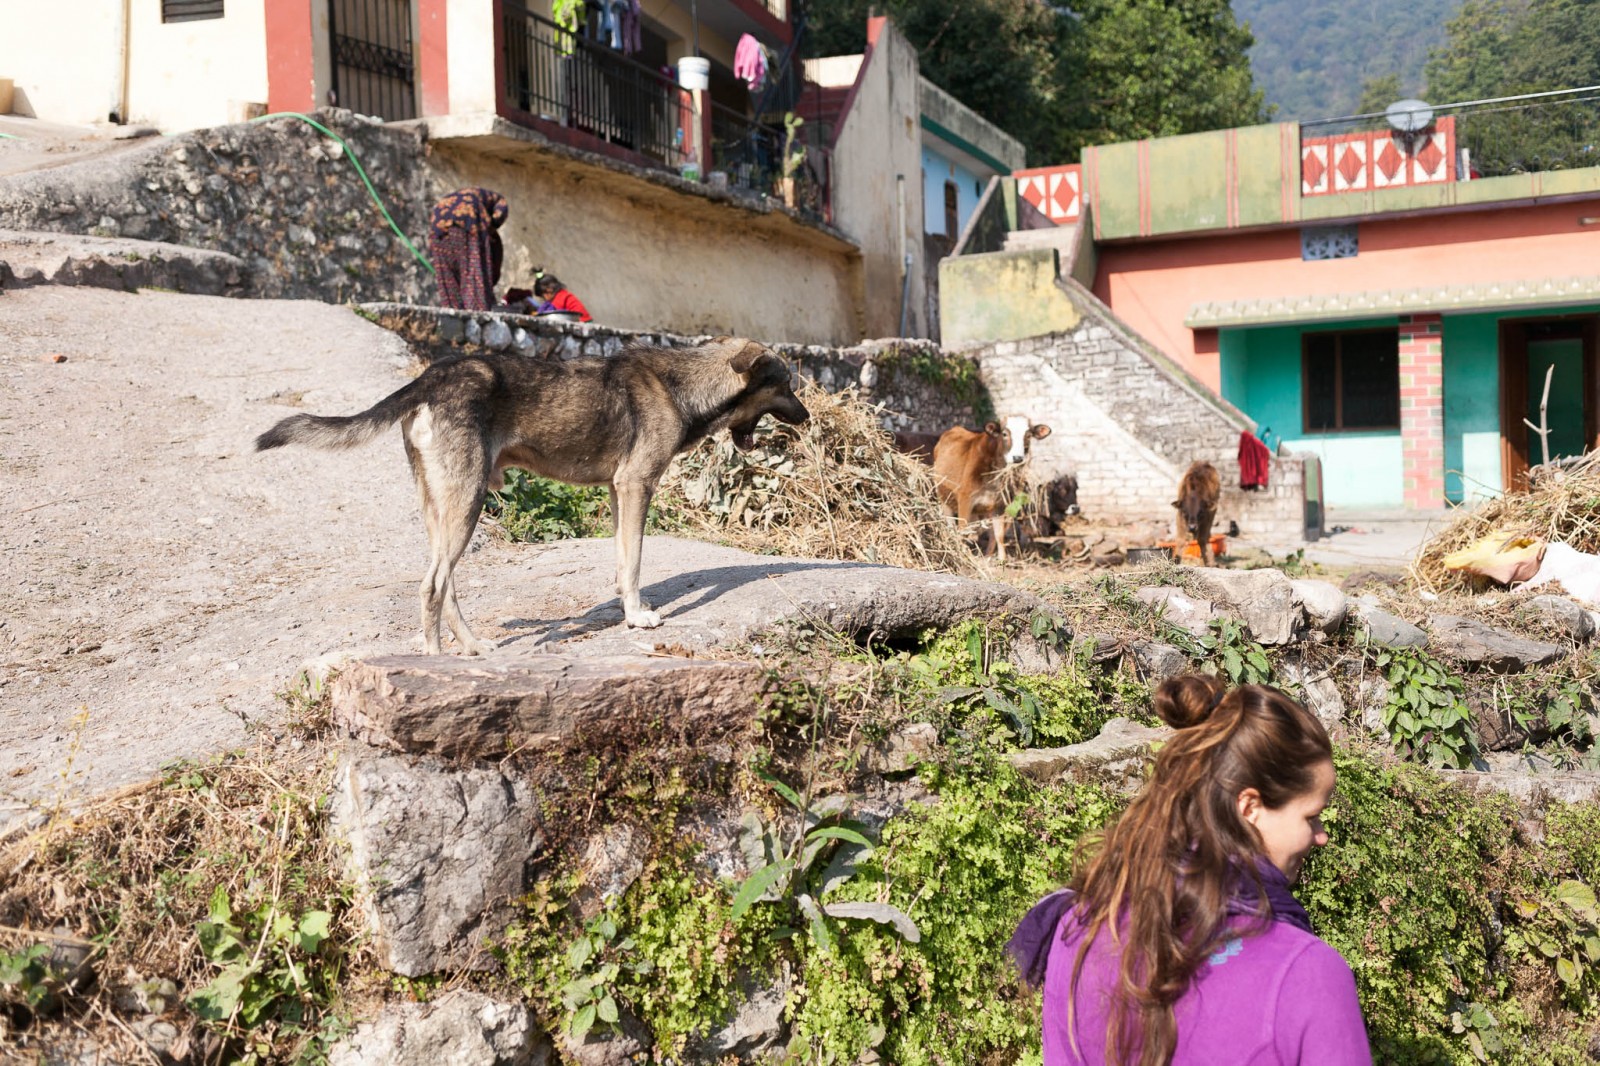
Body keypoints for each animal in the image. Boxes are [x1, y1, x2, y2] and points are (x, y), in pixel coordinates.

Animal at [264, 336, 819, 653]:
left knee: (446, 586)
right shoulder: (636, 485)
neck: (684, 385)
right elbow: (636, 562)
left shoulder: (617, 492)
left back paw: (473, 647)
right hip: (467, 502)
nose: (809, 416)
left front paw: (628, 609)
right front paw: (638, 617)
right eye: (787, 385)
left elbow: (623, 560)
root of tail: (433, 375)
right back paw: (438, 664)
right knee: (431, 587)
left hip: (443, 508)